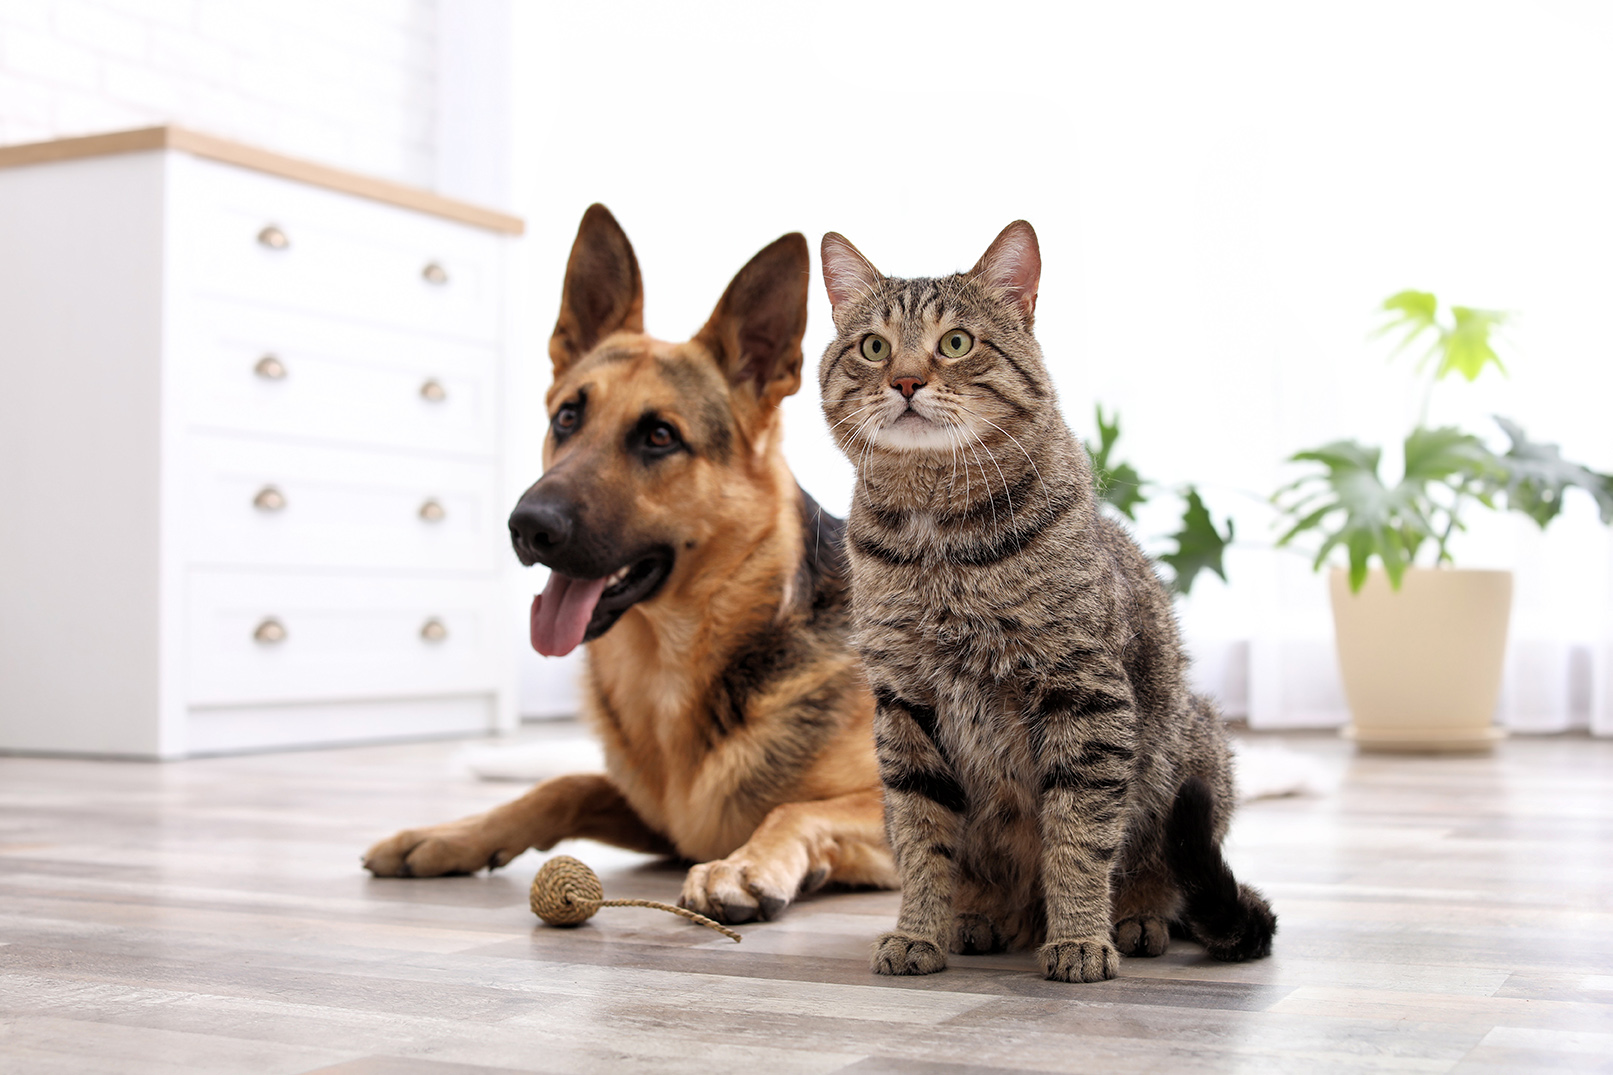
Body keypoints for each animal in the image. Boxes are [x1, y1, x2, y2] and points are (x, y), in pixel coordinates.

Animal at [361, 203, 903, 923]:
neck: (673, 663)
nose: (527, 526)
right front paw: (450, 835)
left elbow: (795, 809)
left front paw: (745, 865)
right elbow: (563, 784)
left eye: (659, 436)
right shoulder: (663, 820)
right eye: (567, 417)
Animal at [819, 219, 1271, 981]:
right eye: (873, 347)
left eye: (955, 342)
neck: (938, 539)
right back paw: (979, 918)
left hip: (1197, 748)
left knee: (1163, 872)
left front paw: (1081, 936)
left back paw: (1133, 917)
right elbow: (921, 838)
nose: (905, 380)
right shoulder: (904, 706)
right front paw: (920, 930)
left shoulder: (1082, 693)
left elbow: (1079, 837)